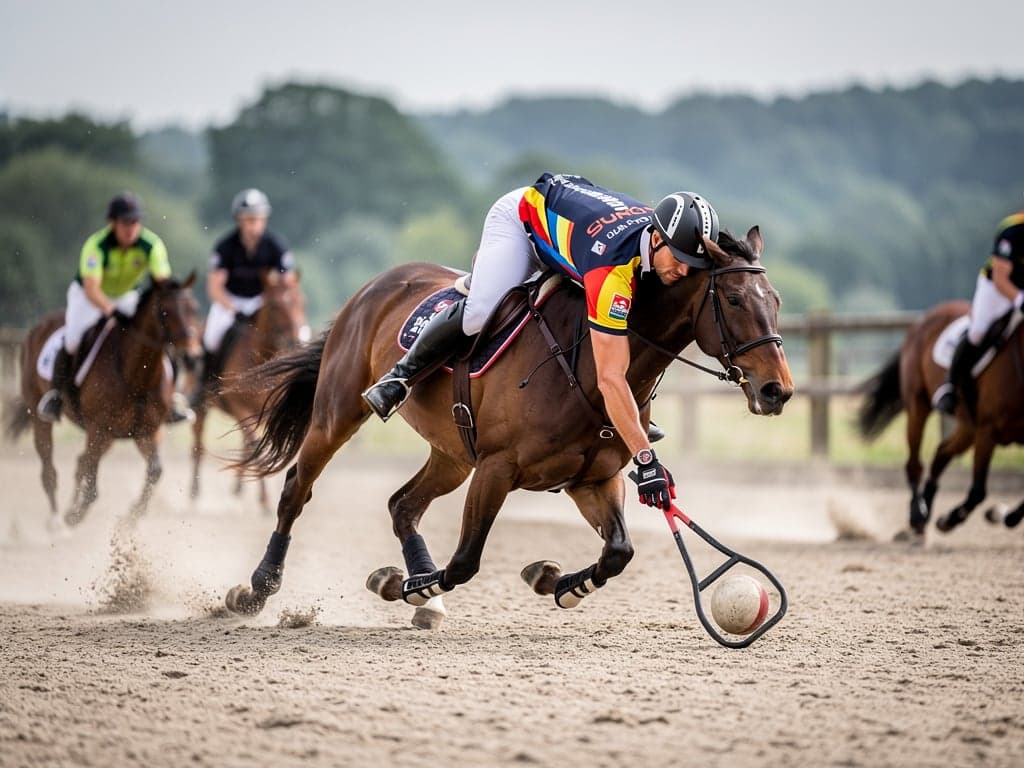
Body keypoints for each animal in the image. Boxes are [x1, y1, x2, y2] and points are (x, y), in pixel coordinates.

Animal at [4, 275, 200, 529]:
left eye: (194, 309)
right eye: (165, 312)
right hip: (41, 413)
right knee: (49, 469)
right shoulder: (99, 429)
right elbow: (91, 489)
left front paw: (131, 517)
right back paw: (57, 521)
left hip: (110, 437)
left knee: (80, 463)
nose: (192, 357)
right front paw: (73, 516)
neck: (137, 376)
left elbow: (154, 471)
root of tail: (39, 325)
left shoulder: (147, 431)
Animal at [189, 270, 307, 511]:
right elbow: (256, 446)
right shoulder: (241, 407)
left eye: (301, 301)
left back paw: (238, 487)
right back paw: (195, 495)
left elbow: (263, 445)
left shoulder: (271, 412)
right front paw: (264, 499)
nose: (295, 341)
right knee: (198, 443)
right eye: (275, 305)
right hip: (201, 408)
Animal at [222, 228, 793, 629]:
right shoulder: (496, 470)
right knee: (296, 490)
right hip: (337, 414)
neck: (591, 360)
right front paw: (405, 586)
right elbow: (465, 562)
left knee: (403, 505)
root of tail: (376, 284)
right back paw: (257, 588)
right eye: (735, 300)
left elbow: (618, 552)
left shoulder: (593, 480)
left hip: (452, 454)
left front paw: (558, 582)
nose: (778, 390)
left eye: (776, 300)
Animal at [857, 300, 1024, 536]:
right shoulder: (988, 430)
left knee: (942, 452)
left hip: (968, 426)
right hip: (918, 406)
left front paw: (1006, 516)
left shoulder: (984, 430)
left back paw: (925, 511)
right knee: (915, 463)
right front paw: (951, 520)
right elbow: (978, 490)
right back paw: (918, 514)